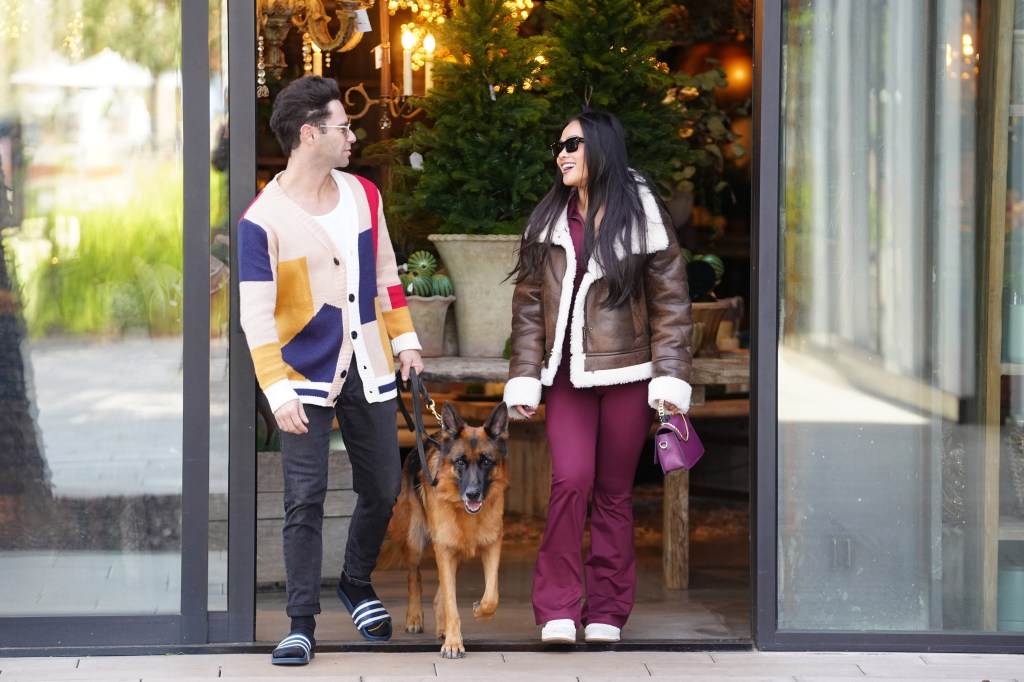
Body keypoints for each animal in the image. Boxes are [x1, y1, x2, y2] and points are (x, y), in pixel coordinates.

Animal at [387, 401, 507, 655]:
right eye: (460, 461)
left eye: (486, 461)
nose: (472, 494)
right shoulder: (444, 549)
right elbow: (452, 605)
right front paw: (453, 643)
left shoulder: (492, 545)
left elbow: (491, 596)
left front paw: (479, 611)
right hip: (415, 541)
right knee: (415, 576)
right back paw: (415, 617)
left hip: (455, 552)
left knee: (440, 593)